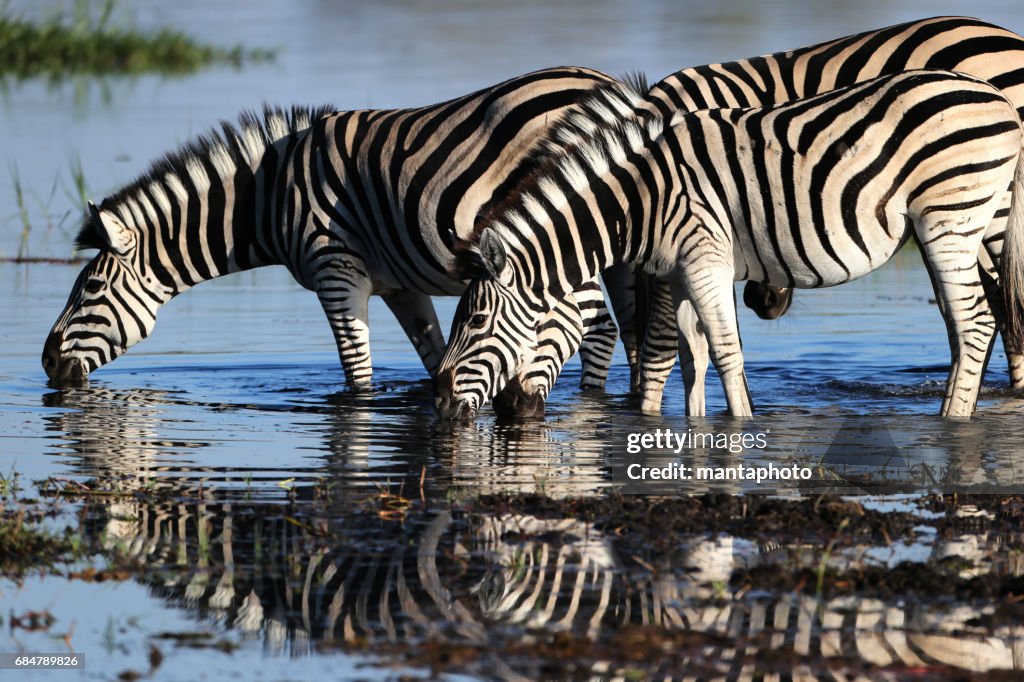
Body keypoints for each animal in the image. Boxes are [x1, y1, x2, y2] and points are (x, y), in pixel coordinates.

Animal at [39, 65, 630, 413]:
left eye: (89, 290)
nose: (46, 363)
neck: (270, 197)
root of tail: (612, 87)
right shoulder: (399, 286)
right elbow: (434, 355)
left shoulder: (335, 269)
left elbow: (357, 376)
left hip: (559, 236)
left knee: (594, 326)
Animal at [436, 70, 1024, 419]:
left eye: (476, 321)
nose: (439, 400)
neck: (643, 198)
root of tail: (998, 99)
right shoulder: (677, 271)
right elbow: (678, 356)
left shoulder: (704, 258)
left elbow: (723, 351)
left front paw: (738, 426)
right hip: (969, 222)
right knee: (970, 322)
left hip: (949, 219)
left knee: (974, 322)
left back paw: (951, 421)